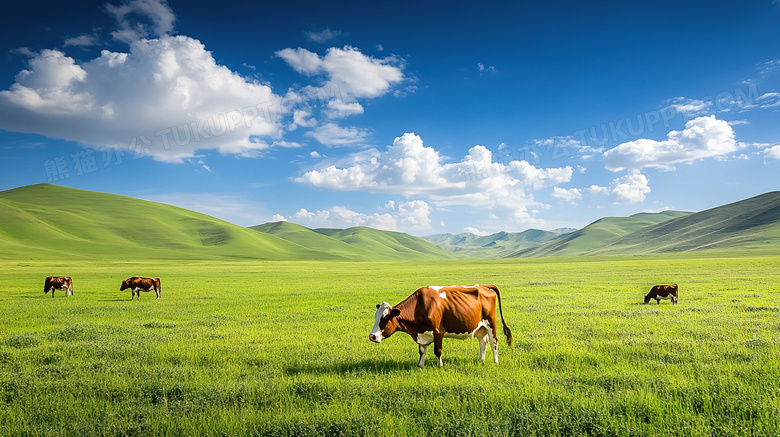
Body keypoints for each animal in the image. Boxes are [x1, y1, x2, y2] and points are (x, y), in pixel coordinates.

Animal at [370, 284, 512, 366]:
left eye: (385, 318)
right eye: (375, 317)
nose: (372, 336)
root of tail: (484, 286)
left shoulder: (438, 331)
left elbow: (437, 351)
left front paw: (440, 366)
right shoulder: (421, 333)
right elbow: (422, 351)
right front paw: (420, 366)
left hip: (491, 323)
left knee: (494, 342)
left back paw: (496, 362)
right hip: (480, 327)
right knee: (483, 342)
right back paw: (481, 360)